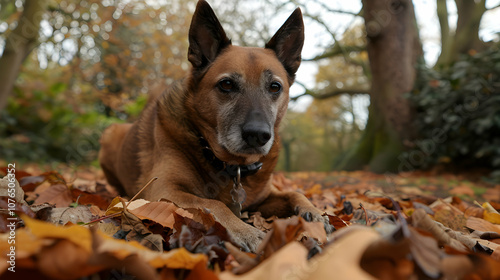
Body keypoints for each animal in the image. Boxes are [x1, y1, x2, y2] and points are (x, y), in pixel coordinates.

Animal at [98, 0, 332, 252]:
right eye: (226, 84)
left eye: (275, 87)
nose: (258, 135)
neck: (229, 164)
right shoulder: (162, 191)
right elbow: (213, 204)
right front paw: (248, 231)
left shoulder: (264, 197)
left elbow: (293, 193)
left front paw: (315, 212)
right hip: (110, 134)